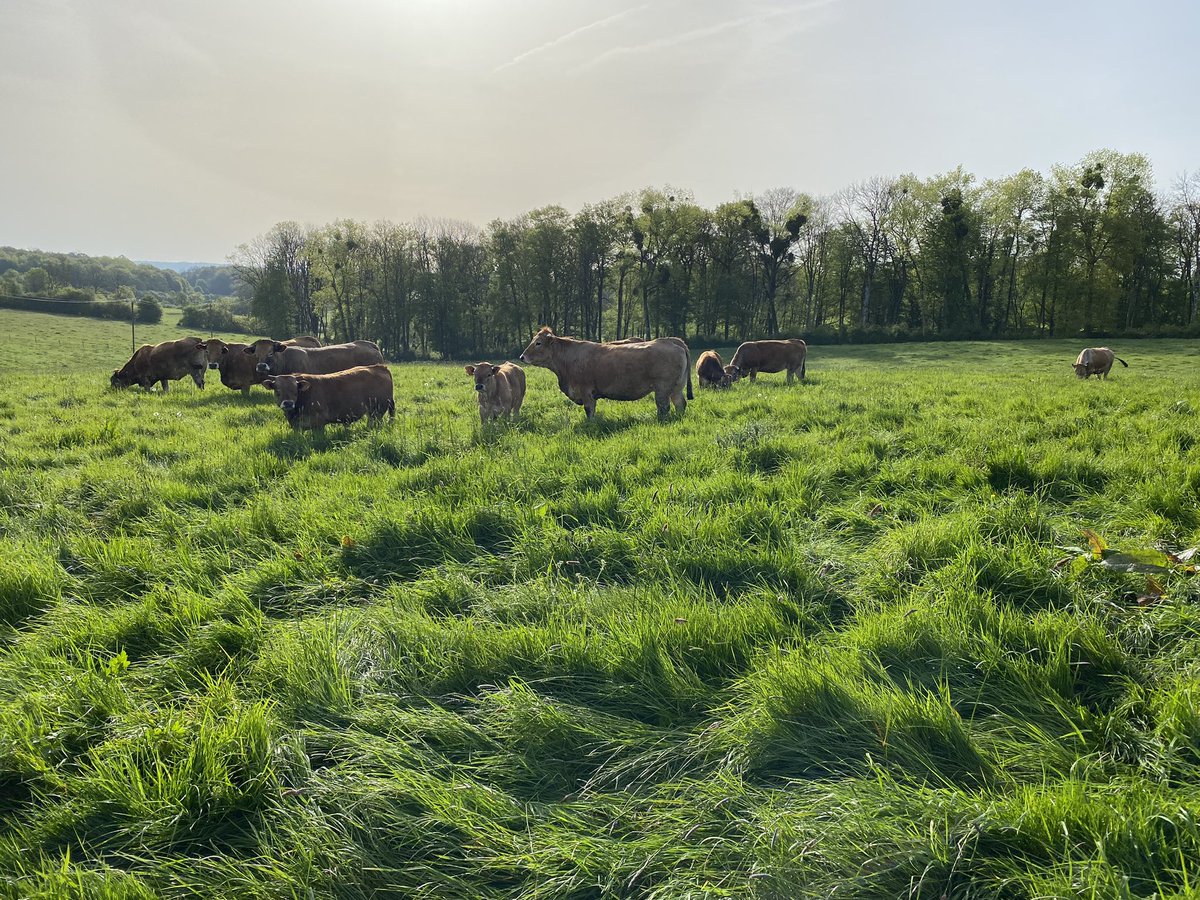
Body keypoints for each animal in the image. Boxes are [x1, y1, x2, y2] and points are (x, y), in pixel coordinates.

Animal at [261, 364, 393, 432]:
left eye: (295, 391)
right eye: (277, 391)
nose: (288, 403)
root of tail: (379, 367)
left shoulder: (319, 423)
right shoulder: (297, 427)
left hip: (377, 411)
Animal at [518, 328, 696, 420]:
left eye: (538, 343)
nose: (522, 357)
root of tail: (671, 340)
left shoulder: (586, 391)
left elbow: (589, 411)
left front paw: (591, 424)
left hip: (663, 388)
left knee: (663, 407)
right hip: (676, 387)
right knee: (680, 403)